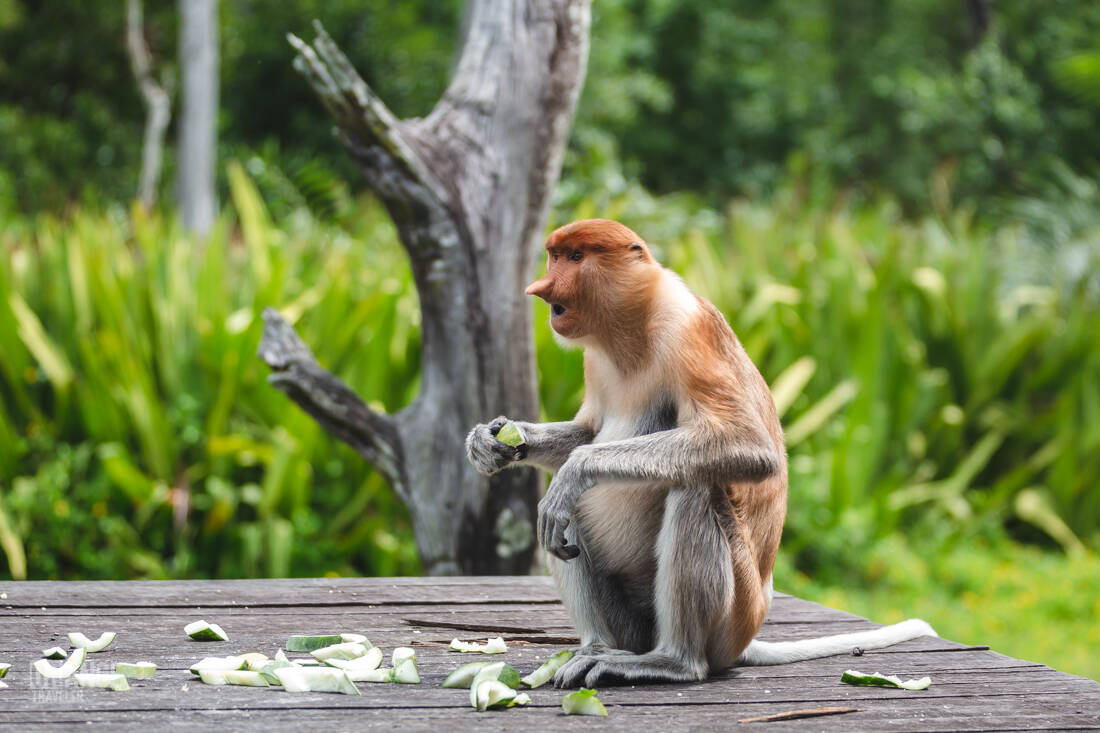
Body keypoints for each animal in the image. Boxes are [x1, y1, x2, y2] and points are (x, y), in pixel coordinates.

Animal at [466, 219, 935, 687]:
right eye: (556, 256)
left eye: (577, 258)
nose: (540, 288)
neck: (631, 327)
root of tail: (748, 635)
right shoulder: (593, 361)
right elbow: (587, 431)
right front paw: (490, 441)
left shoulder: (689, 333)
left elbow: (750, 447)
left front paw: (575, 471)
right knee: (573, 521)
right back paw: (597, 648)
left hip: (733, 617)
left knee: (694, 486)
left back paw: (671, 661)